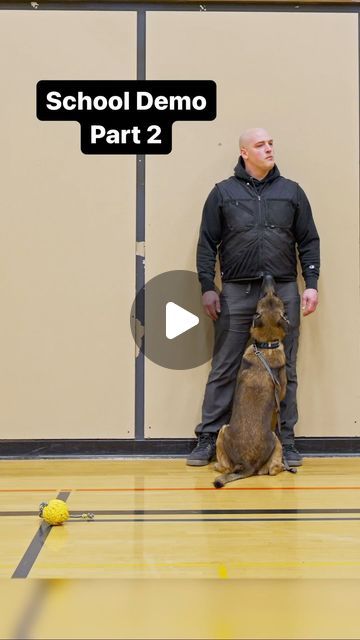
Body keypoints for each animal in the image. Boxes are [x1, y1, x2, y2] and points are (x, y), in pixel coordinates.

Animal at [214, 272, 290, 488]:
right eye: (264, 296)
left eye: (275, 295)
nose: (268, 274)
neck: (267, 345)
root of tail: (247, 463)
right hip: (270, 437)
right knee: (271, 470)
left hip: (224, 430)